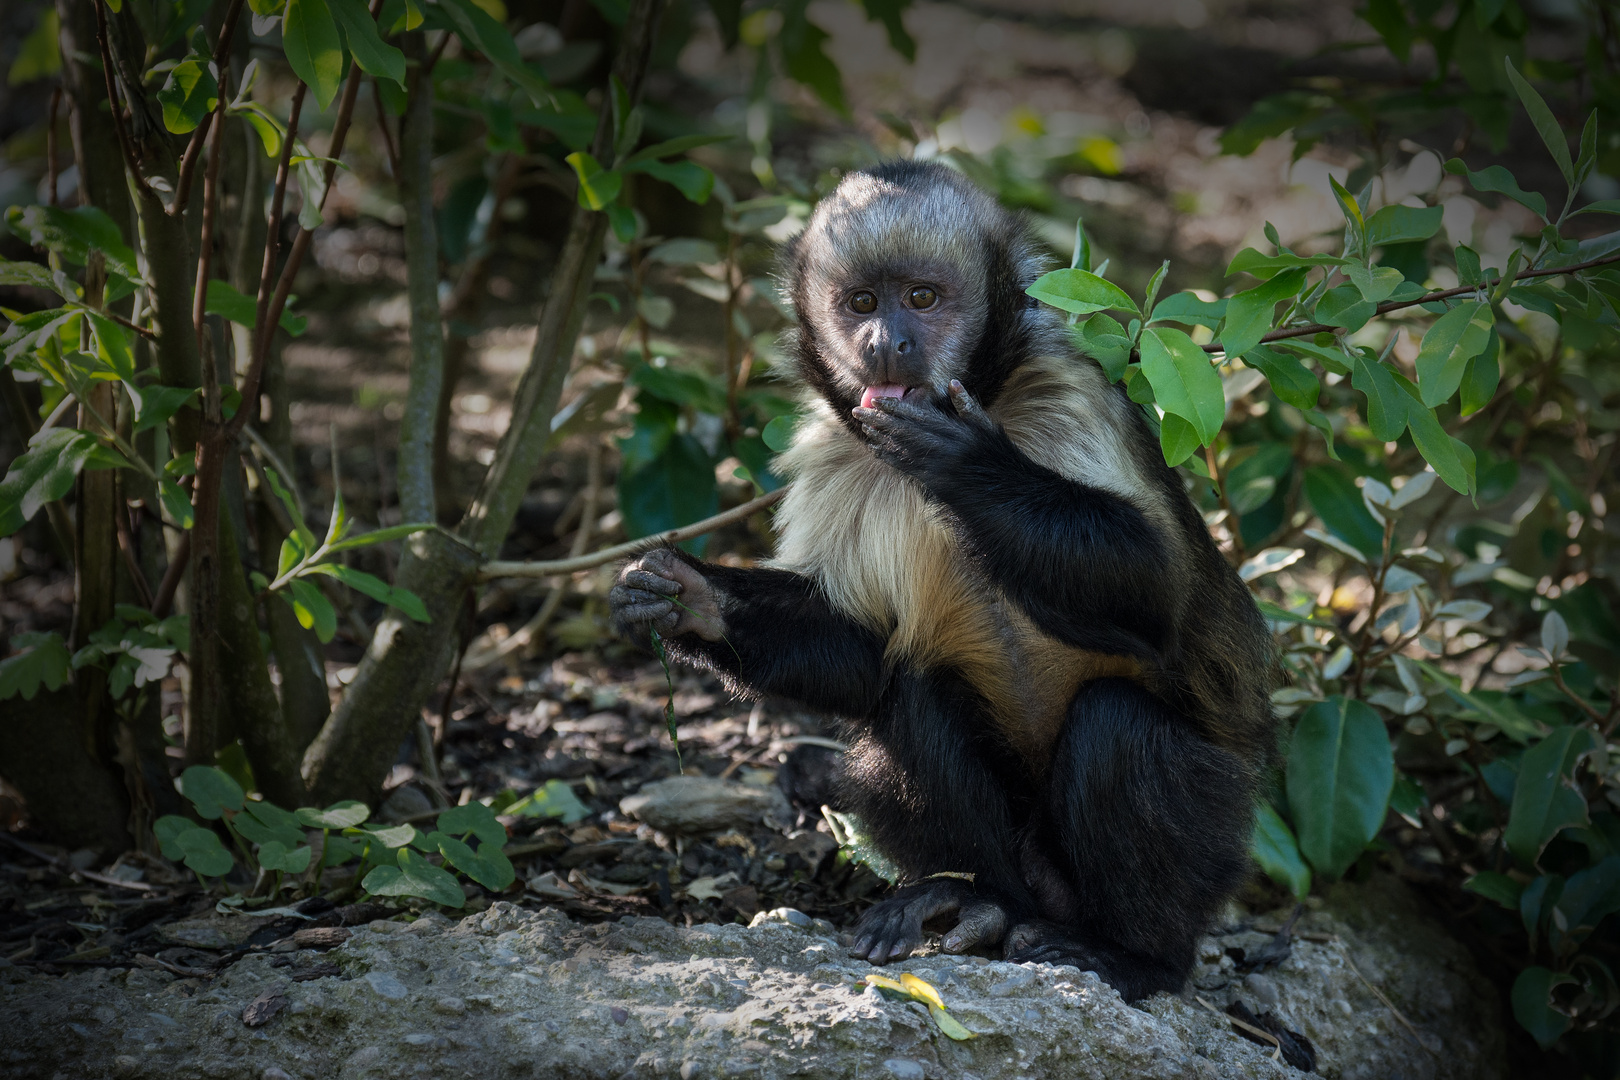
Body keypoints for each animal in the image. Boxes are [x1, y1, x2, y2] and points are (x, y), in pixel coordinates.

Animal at [609, 160, 1276, 1003]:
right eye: (862, 303)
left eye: (923, 299)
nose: (885, 343)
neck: (988, 393)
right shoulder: (834, 444)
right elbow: (859, 655)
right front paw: (692, 602)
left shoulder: (1070, 390)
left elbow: (1160, 588)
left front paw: (965, 462)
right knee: (911, 692)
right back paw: (979, 903)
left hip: (1219, 830)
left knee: (1117, 723)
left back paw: (1136, 956)